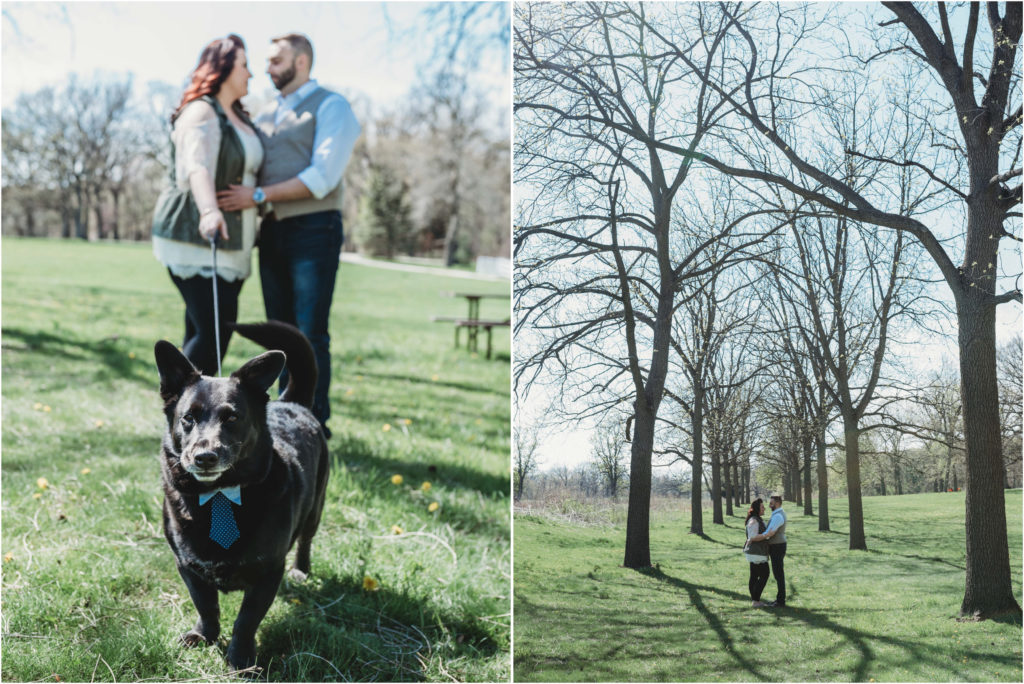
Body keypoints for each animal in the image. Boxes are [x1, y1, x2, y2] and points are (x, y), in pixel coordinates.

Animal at [153, 321, 327, 671]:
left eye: (232, 417)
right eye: (188, 418)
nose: (204, 457)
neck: (218, 495)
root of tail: (292, 403)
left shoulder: (268, 572)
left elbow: (246, 620)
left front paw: (241, 658)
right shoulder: (188, 567)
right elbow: (206, 607)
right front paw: (203, 636)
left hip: (315, 509)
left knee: (306, 539)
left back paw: (301, 570)